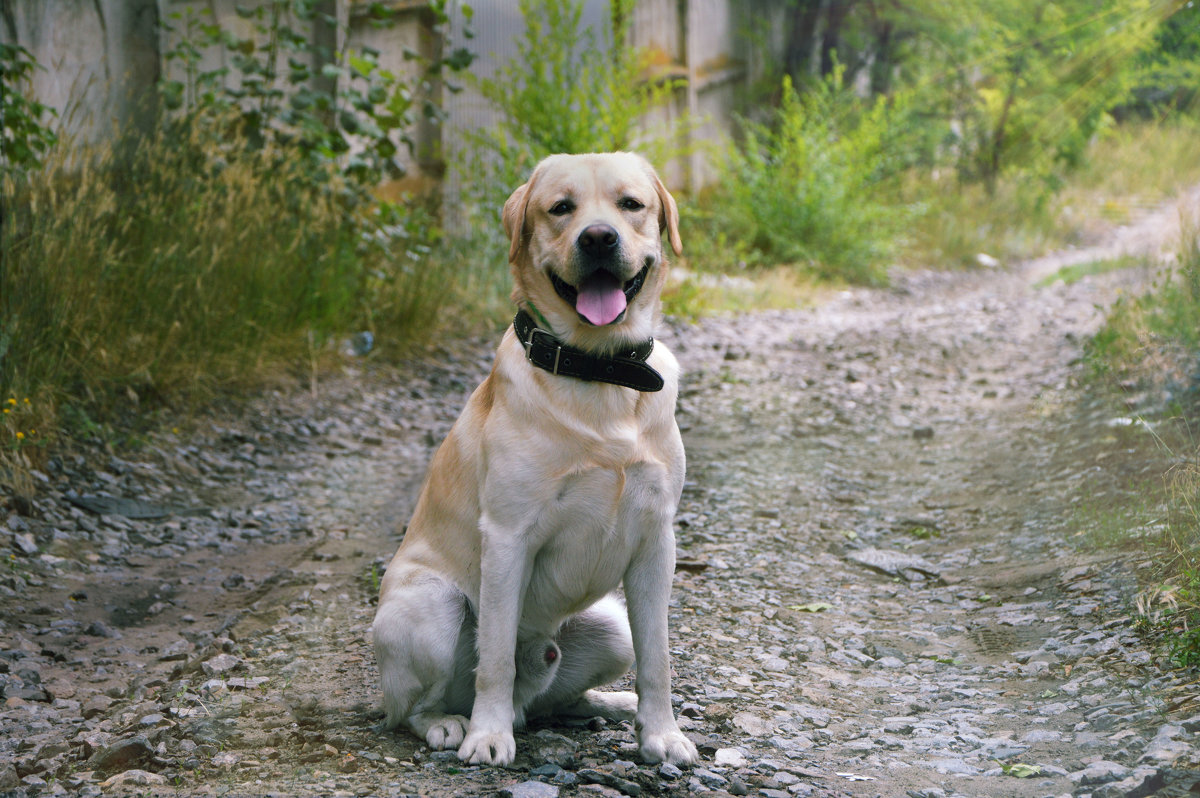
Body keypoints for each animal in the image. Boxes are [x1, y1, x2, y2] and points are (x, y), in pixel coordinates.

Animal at [369, 151, 700, 768]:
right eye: (561, 208)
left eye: (631, 204)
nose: (598, 237)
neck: (600, 372)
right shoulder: (507, 537)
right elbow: (495, 656)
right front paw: (487, 735)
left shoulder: (656, 542)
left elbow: (659, 658)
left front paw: (661, 735)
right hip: (430, 607)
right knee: (413, 709)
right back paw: (452, 724)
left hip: (610, 627)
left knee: (557, 701)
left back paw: (609, 704)